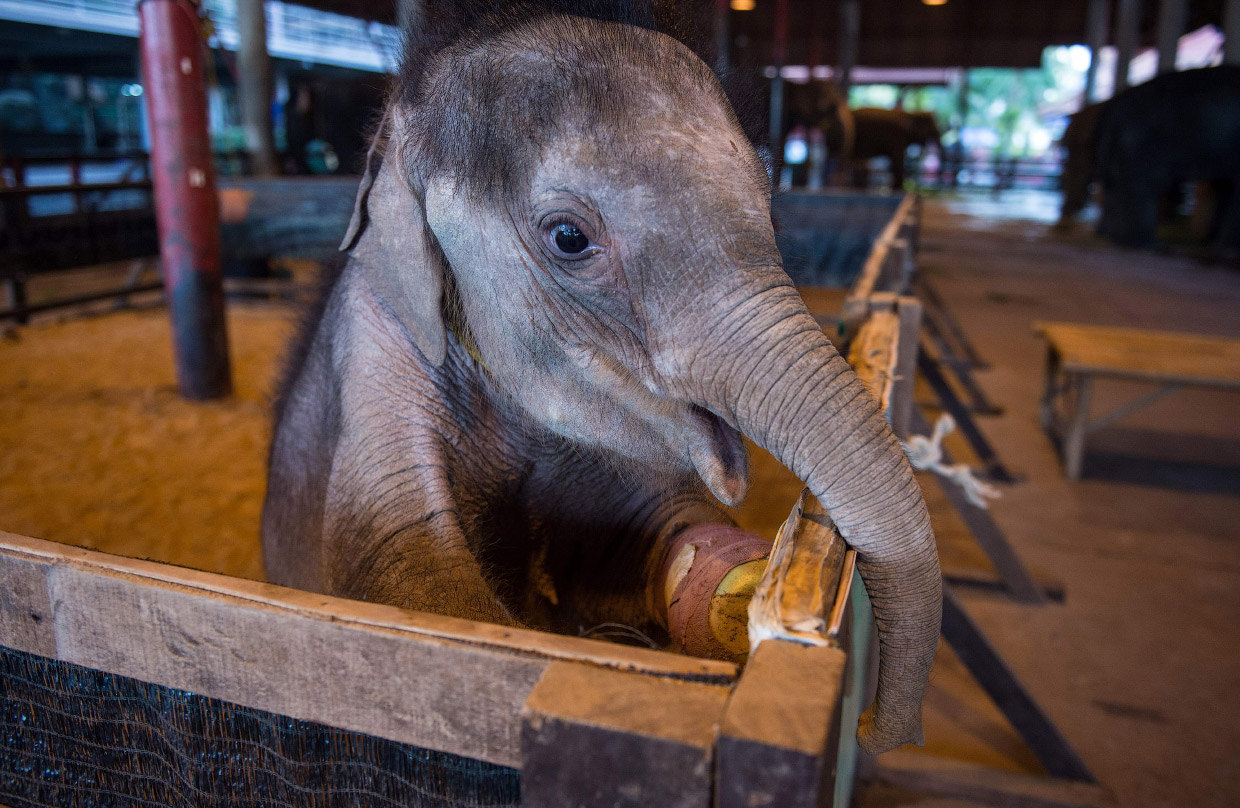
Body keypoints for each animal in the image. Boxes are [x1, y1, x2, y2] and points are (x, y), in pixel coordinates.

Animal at [264, 1, 937, 758]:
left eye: (772, 208)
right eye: (569, 238)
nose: (871, 729)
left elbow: (647, 536)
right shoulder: (378, 357)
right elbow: (420, 583)